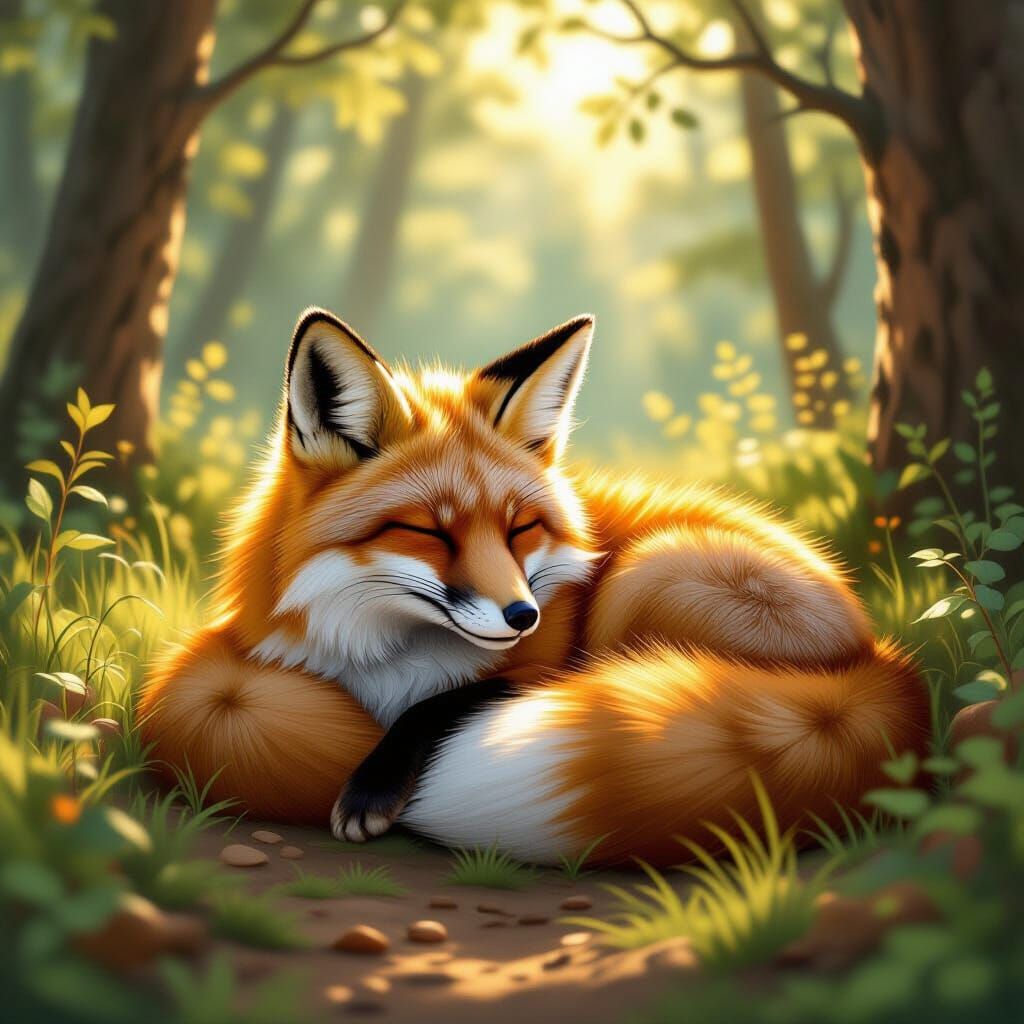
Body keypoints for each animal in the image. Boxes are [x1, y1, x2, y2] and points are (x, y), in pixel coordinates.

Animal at [139, 308, 930, 866]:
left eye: (519, 528)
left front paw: (373, 784)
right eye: (429, 533)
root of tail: (880, 660)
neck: (384, 655)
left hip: (646, 574)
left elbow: (444, 703)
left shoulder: (544, 666)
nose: (522, 614)